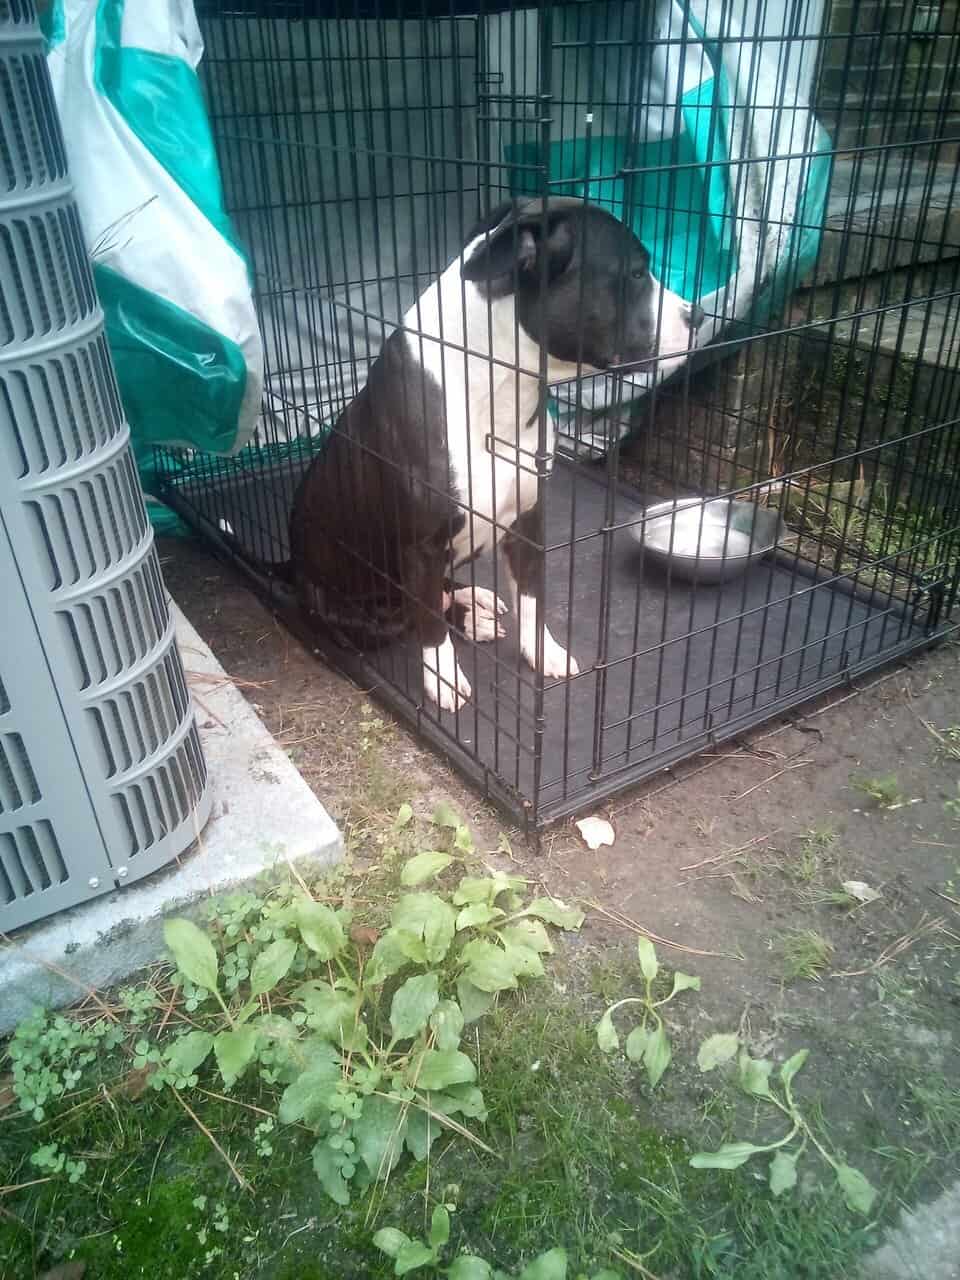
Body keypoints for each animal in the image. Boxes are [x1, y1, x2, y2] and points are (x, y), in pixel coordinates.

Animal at [286, 197, 704, 711]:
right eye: (637, 273)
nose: (698, 315)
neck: (499, 387)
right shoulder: (420, 547)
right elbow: (428, 627)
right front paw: (443, 679)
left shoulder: (528, 521)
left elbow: (531, 600)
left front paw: (542, 652)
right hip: (360, 604)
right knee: (410, 616)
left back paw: (475, 603)